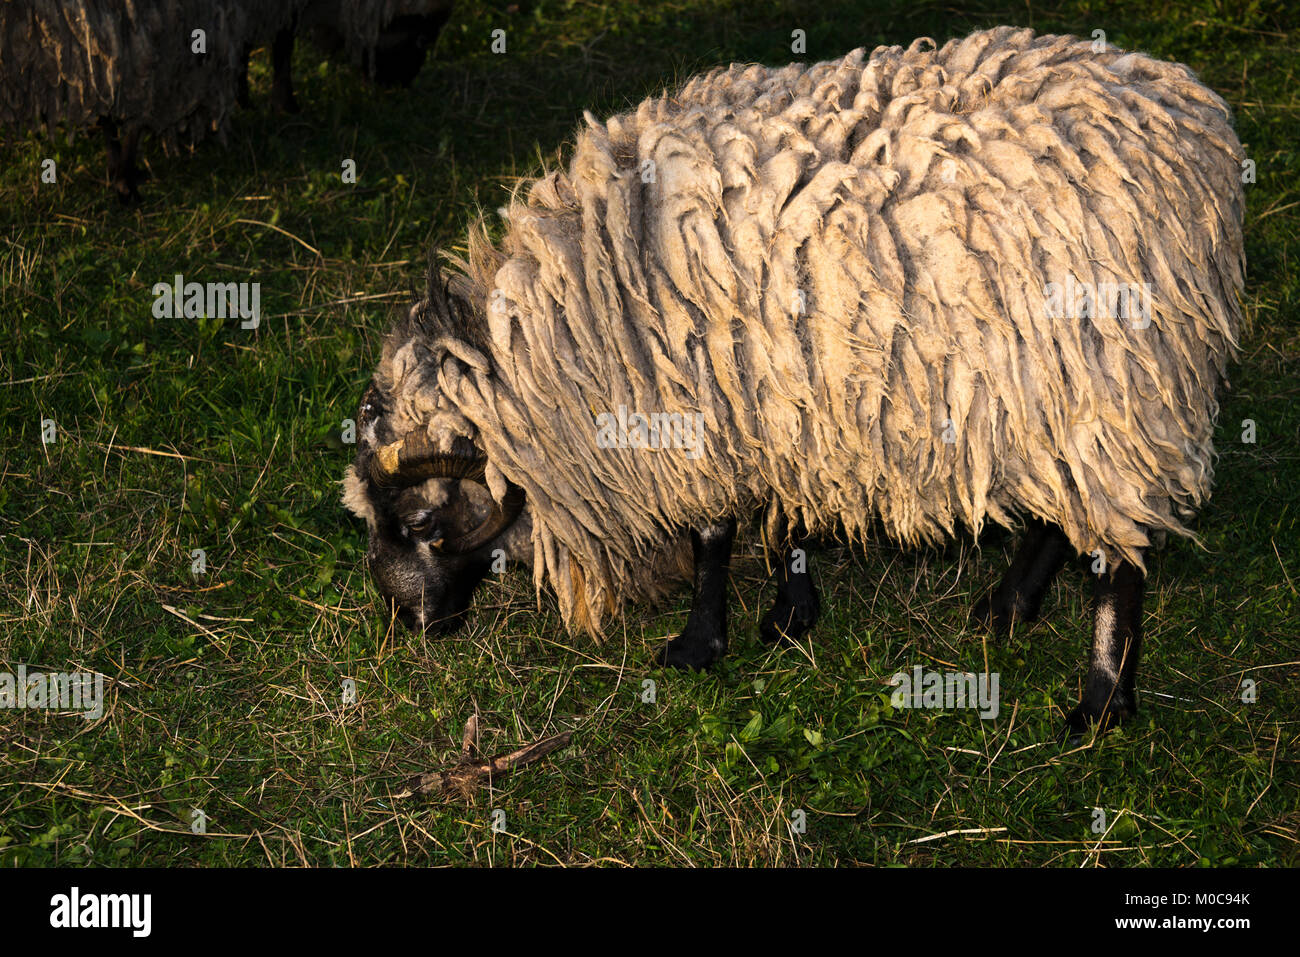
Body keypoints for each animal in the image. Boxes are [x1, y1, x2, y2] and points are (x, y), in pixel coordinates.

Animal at [341, 26, 1246, 735]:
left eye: (422, 522)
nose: (408, 621)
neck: (588, 303)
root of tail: (1196, 122)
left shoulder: (703, 407)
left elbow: (712, 533)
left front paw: (701, 642)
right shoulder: (782, 396)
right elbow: (785, 515)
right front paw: (790, 612)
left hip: (1115, 375)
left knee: (1120, 551)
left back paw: (1100, 701)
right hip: (1052, 388)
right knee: (1066, 505)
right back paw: (1008, 605)